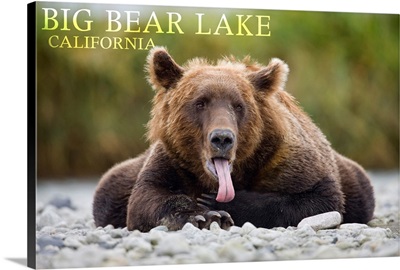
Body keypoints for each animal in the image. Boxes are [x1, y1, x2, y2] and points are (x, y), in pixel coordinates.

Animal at [92, 46, 374, 232]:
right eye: (200, 103)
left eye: (238, 106)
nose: (222, 138)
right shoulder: (173, 160)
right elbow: (147, 197)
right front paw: (202, 215)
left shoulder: (286, 160)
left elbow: (319, 197)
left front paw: (216, 203)